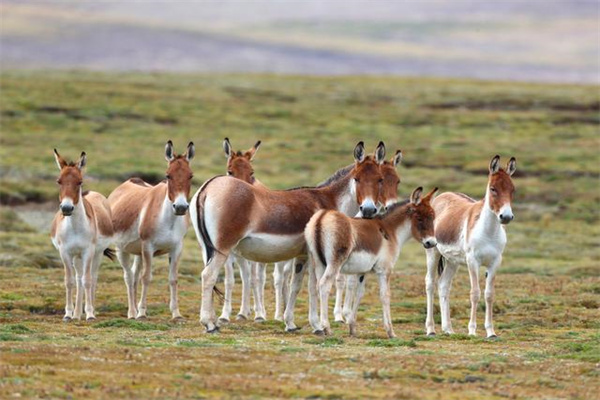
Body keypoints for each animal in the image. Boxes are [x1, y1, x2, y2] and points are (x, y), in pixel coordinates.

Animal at [51, 150, 113, 322]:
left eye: (79, 182)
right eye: (59, 181)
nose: (66, 208)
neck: (75, 228)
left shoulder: (88, 252)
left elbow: (88, 280)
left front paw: (90, 314)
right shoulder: (65, 252)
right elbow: (69, 281)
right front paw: (68, 314)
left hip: (97, 254)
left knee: (92, 278)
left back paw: (89, 311)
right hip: (76, 256)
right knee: (78, 278)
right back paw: (77, 313)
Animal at [106, 142, 193, 320]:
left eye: (190, 176)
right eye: (168, 175)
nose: (181, 207)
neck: (167, 219)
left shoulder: (177, 248)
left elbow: (173, 279)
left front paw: (176, 314)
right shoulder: (148, 247)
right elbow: (146, 278)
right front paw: (142, 313)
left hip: (138, 252)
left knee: (134, 276)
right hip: (122, 249)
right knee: (128, 276)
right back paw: (132, 312)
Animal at [304, 188, 436, 338]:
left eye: (433, 217)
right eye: (419, 218)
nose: (432, 243)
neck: (389, 230)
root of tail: (322, 217)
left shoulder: (362, 272)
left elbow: (360, 294)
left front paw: (352, 327)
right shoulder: (384, 271)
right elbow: (385, 296)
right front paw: (390, 331)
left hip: (318, 263)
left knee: (315, 287)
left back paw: (319, 327)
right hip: (334, 264)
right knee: (324, 285)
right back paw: (326, 327)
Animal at [424, 155, 516, 338]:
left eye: (512, 189)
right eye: (493, 189)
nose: (506, 217)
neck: (488, 232)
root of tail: (441, 196)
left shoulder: (496, 262)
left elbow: (489, 294)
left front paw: (491, 332)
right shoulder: (473, 261)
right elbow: (475, 293)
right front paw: (472, 330)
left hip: (452, 260)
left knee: (443, 285)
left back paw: (448, 329)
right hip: (433, 252)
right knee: (430, 283)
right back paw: (431, 329)